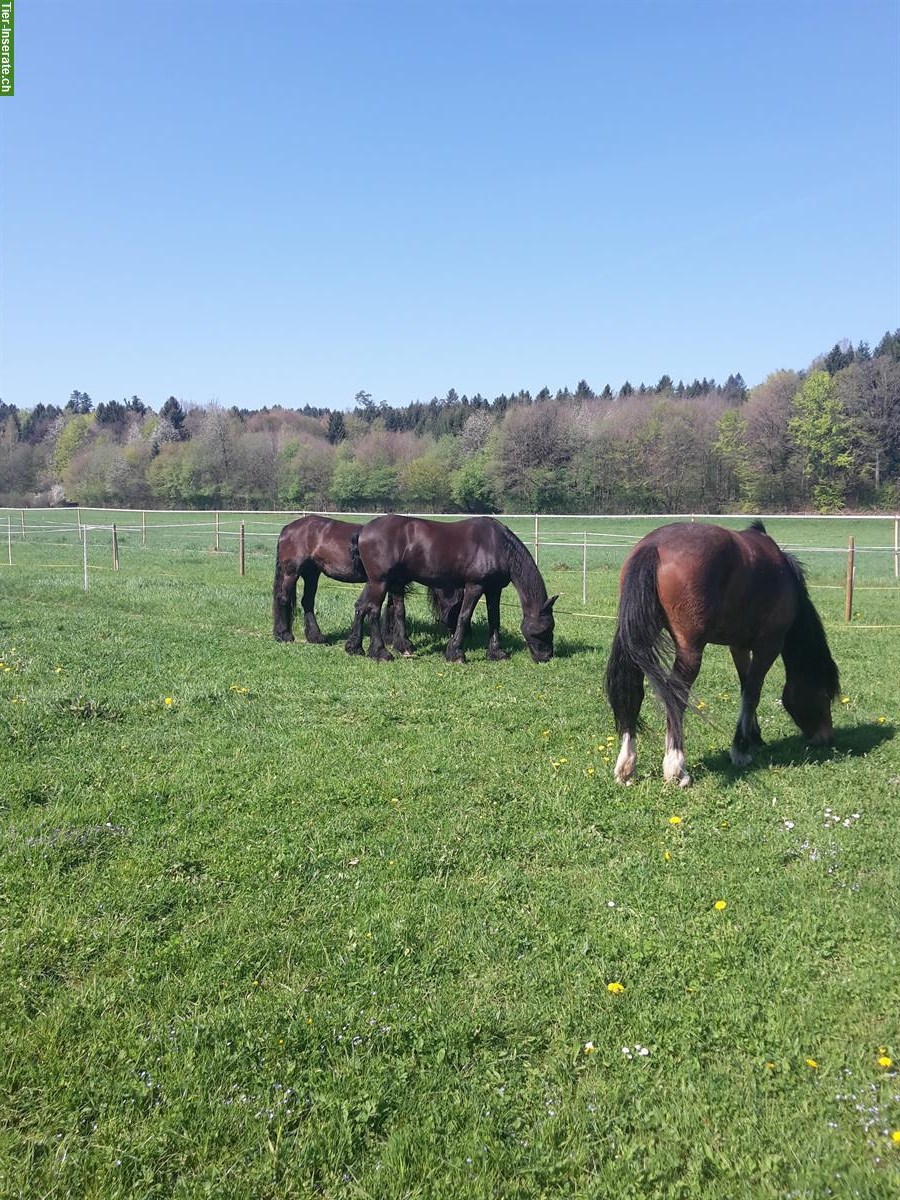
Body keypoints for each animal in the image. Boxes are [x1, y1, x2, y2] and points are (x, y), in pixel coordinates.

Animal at [271, 513, 460, 652]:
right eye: (457, 603)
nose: (452, 628)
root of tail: (287, 529)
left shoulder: (393, 583)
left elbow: (395, 609)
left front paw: (395, 641)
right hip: (291, 572)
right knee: (282, 598)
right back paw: (284, 635)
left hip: (311, 573)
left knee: (307, 602)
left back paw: (316, 637)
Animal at [345, 511, 556, 662]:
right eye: (546, 627)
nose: (546, 656)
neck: (497, 545)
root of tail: (363, 531)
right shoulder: (475, 586)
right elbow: (464, 616)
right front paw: (455, 653)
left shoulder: (494, 589)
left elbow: (494, 619)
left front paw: (496, 653)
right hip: (380, 582)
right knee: (373, 610)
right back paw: (380, 652)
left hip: (385, 582)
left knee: (370, 607)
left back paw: (358, 647)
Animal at [602, 518, 844, 787]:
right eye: (825, 695)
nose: (826, 737)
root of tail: (653, 546)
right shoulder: (768, 646)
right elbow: (752, 694)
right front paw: (740, 750)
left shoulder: (739, 646)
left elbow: (744, 687)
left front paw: (753, 739)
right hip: (690, 650)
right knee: (676, 696)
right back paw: (676, 768)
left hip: (638, 637)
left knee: (633, 691)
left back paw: (626, 767)